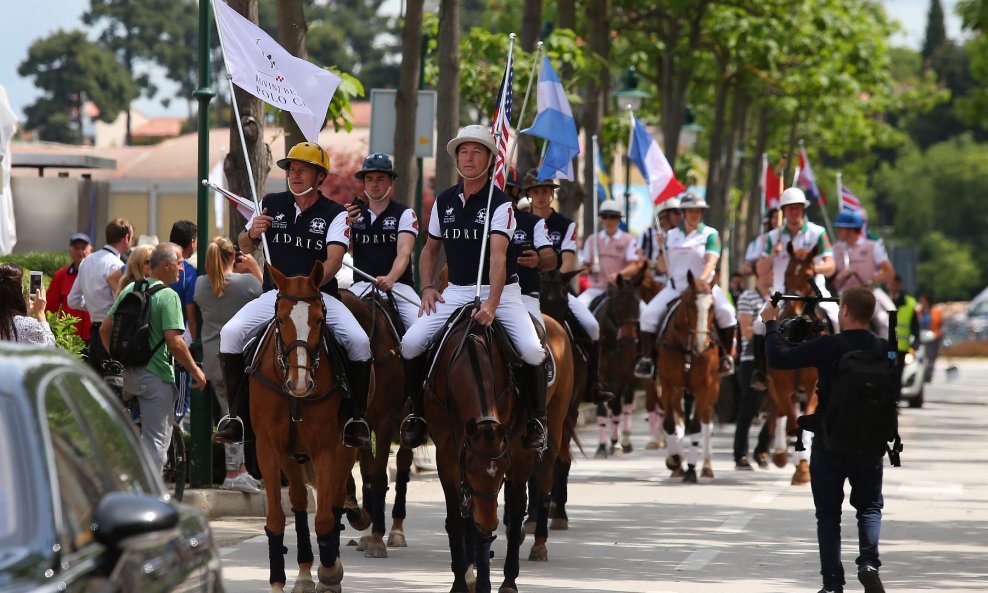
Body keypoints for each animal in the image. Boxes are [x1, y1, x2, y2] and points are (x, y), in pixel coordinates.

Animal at [251, 264, 362, 592]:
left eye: (319, 320)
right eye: (281, 319)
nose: (299, 385)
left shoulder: (327, 449)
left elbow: (324, 518)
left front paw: (329, 571)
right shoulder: (268, 448)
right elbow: (276, 517)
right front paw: (277, 581)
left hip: (344, 450)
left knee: (335, 499)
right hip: (291, 455)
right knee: (300, 501)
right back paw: (302, 572)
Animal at [342, 290, 414, 556]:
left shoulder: (384, 420)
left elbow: (380, 474)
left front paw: (376, 538)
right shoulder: (360, 422)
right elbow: (366, 473)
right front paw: (361, 517)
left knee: (403, 462)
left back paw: (396, 531)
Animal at [422, 306, 536, 592]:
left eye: (503, 468)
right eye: (470, 468)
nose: (488, 522)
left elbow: (482, 524)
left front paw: (480, 580)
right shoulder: (446, 453)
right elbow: (457, 521)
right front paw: (461, 581)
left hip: (523, 451)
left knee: (516, 510)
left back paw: (509, 579)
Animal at [660, 270, 720, 484]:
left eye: (712, 307)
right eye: (690, 304)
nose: (701, 345)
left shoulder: (704, 386)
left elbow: (695, 426)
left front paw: (692, 470)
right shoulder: (668, 385)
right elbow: (670, 423)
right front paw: (675, 460)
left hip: (713, 388)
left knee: (706, 422)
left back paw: (707, 467)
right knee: (678, 419)